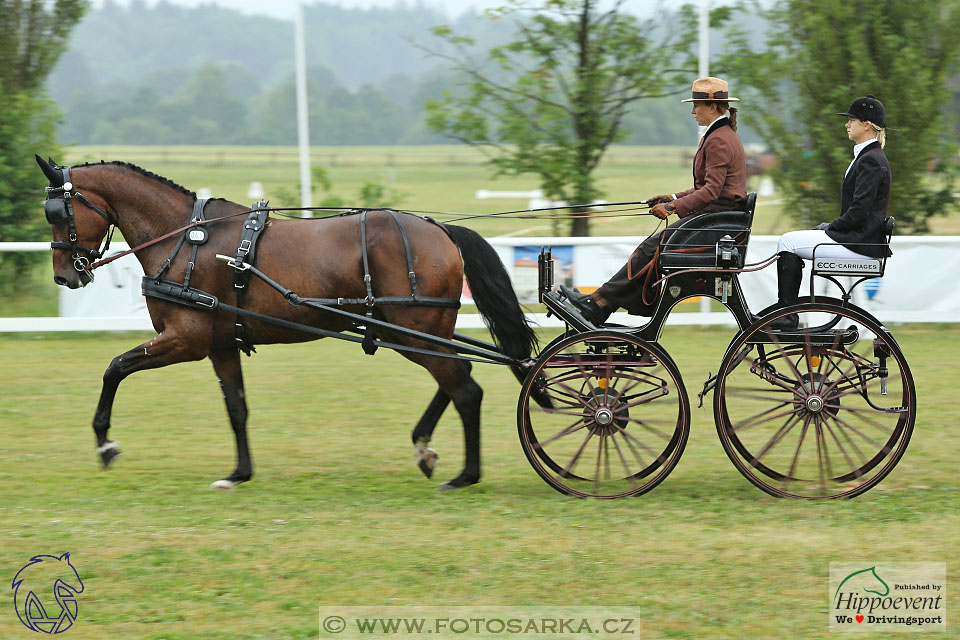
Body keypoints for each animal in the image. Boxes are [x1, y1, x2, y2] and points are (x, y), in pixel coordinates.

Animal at [35, 155, 548, 490]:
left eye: (58, 212)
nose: (64, 276)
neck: (186, 240)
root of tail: (438, 229)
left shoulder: (185, 339)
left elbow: (115, 368)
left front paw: (105, 443)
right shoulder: (220, 345)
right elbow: (236, 407)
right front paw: (239, 473)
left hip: (413, 329)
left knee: (465, 387)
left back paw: (465, 475)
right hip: (414, 331)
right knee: (456, 377)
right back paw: (425, 448)